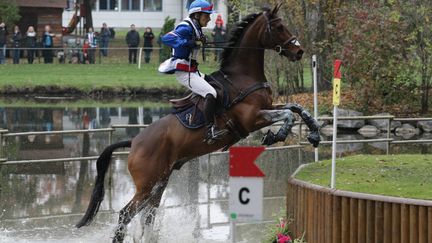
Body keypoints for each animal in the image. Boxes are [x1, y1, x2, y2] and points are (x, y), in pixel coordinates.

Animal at [77, 2, 320, 242]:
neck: (242, 77)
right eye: (279, 27)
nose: (299, 51)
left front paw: (314, 133)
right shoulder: (252, 119)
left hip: (159, 184)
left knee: (147, 216)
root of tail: (135, 141)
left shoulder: (268, 107)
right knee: (125, 215)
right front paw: (277, 135)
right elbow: (287, 115)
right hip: (147, 184)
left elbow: (296, 108)